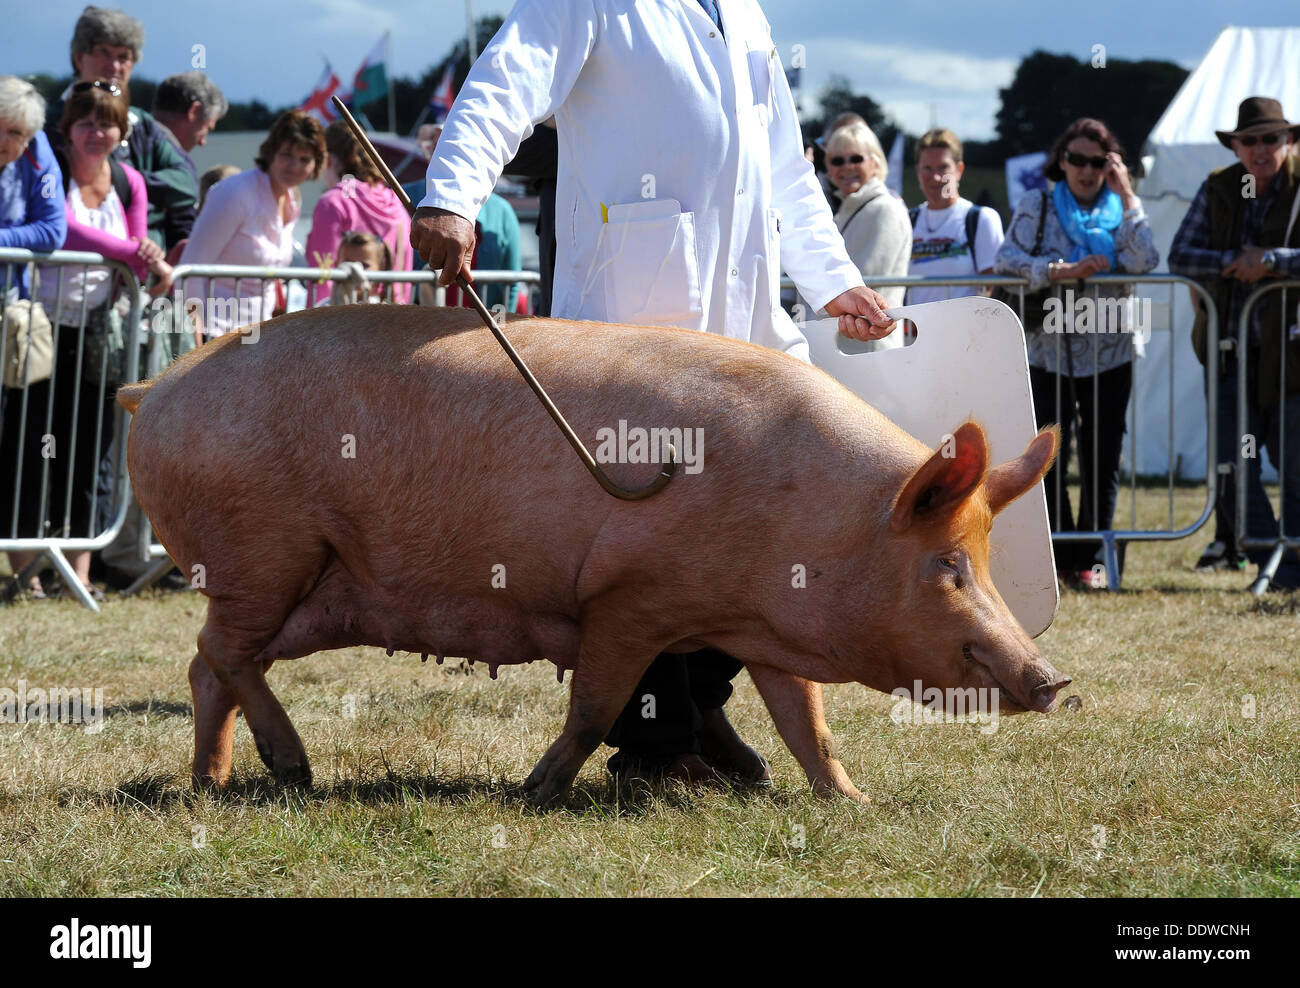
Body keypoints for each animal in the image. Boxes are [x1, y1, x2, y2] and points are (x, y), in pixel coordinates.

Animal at [114, 305, 1066, 806]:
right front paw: (537, 792)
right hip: (261, 553)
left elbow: (809, 724)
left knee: (209, 665)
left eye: (983, 559)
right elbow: (595, 706)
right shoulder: (626, 597)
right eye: (949, 567)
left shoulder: (760, 628)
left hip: (307, 589)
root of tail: (153, 386)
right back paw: (294, 771)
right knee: (219, 653)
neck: (819, 522)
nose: (1054, 680)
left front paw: (850, 802)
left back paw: (213, 783)